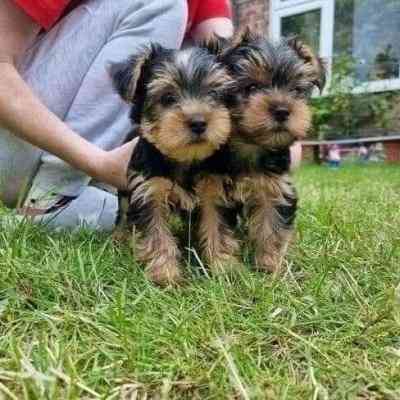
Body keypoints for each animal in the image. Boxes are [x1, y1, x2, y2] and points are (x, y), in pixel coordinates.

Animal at [110, 44, 234, 284]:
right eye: (167, 98)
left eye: (214, 94)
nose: (199, 122)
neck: (185, 158)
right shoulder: (149, 191)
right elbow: (156, 233)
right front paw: (165, 274)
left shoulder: (212, 189)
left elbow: (216, 226)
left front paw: (222, 267)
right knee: (123, 210)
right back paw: (118, 238)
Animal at [196, 31, 324, 274]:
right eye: (252, 87)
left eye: (296, 91)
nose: (282, 110)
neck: (249, 144)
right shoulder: (213, 189)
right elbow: (215, 225)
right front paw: (223, 267)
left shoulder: (274, 188)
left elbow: (272, 227)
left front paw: (270, 266)